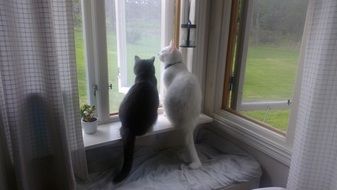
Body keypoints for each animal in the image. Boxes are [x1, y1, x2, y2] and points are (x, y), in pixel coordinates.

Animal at [158, 40, 201, 168]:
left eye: (163, 51)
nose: (158, 53)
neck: (175, 64)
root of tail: (189, 124)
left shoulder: (166, 87)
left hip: (169, 101)